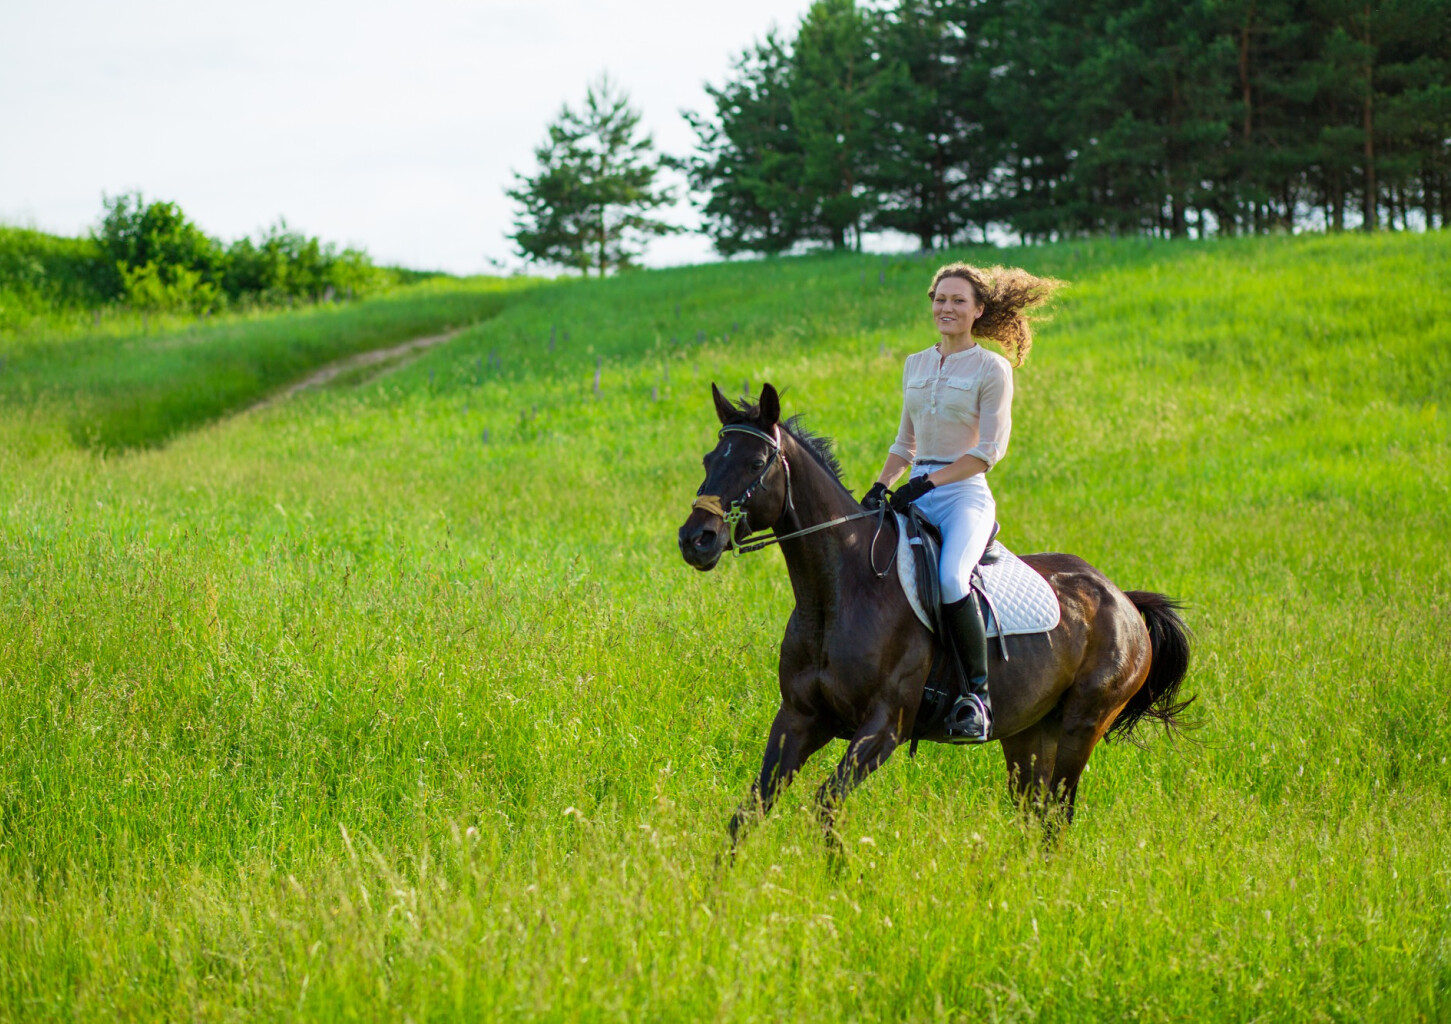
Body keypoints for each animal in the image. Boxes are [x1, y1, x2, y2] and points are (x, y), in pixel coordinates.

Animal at [679, 380, 1189, 841]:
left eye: (755, 463)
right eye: (708, 460)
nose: (695, 539)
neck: (836, 596)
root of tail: (1122, 600)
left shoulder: (884, 727)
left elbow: (827, 804)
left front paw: (842, 878)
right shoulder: (799, 719)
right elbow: (749, 811)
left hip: (1082, 725)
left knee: (1056, 817)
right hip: (1028, 732)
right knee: (1034, 816)